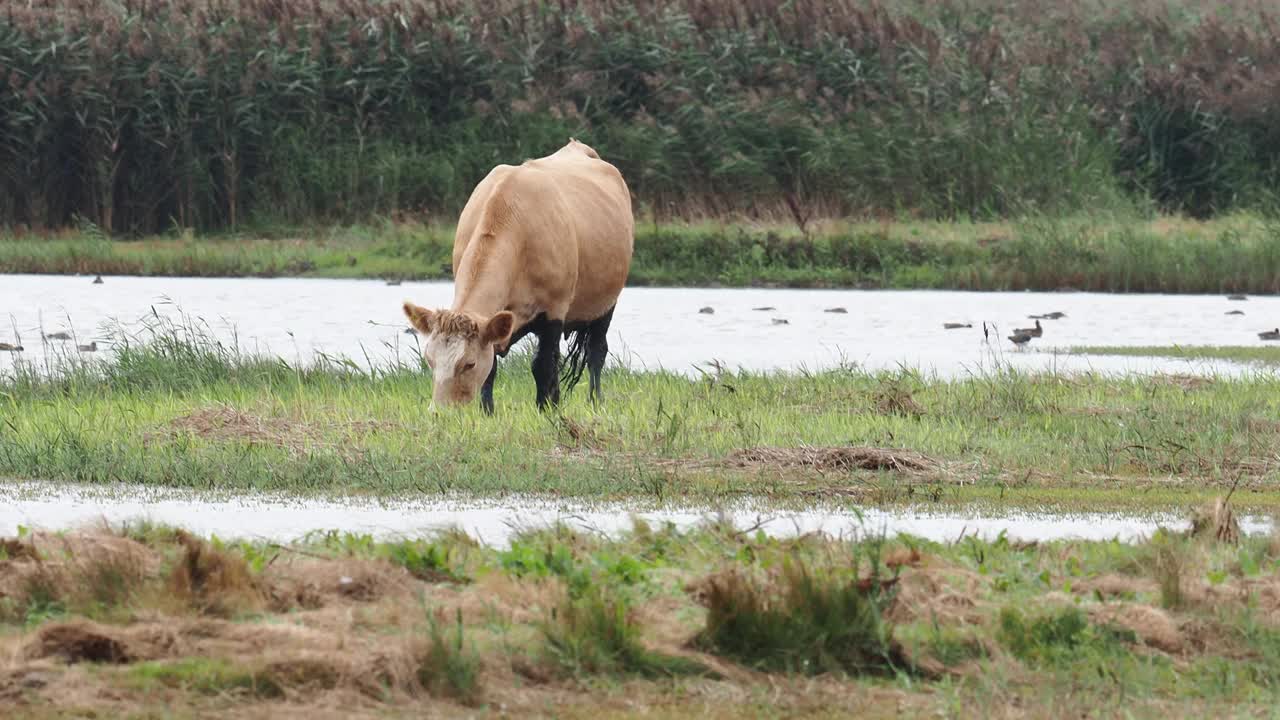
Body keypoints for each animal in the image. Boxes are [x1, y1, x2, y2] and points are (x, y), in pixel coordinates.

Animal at [401, 137, 632, 412]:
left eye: (469, 364)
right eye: (430, 360)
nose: (440, 412)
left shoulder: (554, 311)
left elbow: (543, 365)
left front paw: (547, 410)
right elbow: (492, 371)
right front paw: (487, 412)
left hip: (606, 304)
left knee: (596, 352)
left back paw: (595, 401)